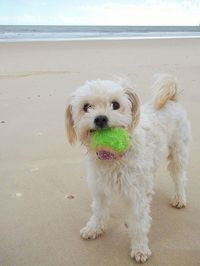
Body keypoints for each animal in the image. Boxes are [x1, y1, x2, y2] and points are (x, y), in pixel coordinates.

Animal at [65, 74, 191, 262]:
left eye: (115, 105)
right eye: (86, 107)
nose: (100, 118)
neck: (113, 157)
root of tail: (171, 99)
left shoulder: (136, 196)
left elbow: (138, 224)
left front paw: (140, 249)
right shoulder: (99, 189)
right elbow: (98, 211)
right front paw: (93, 228)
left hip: (178, 152)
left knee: (179, 177)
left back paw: (179, 197)